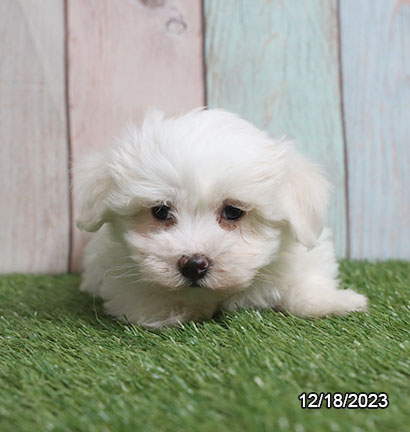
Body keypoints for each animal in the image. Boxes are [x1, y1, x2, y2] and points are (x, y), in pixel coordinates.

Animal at [75, 108, 366, 328]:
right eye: (160, 211)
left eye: (233, 212)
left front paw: (334, 301)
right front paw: (175, 309)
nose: (193, 265)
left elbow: (304, 282)